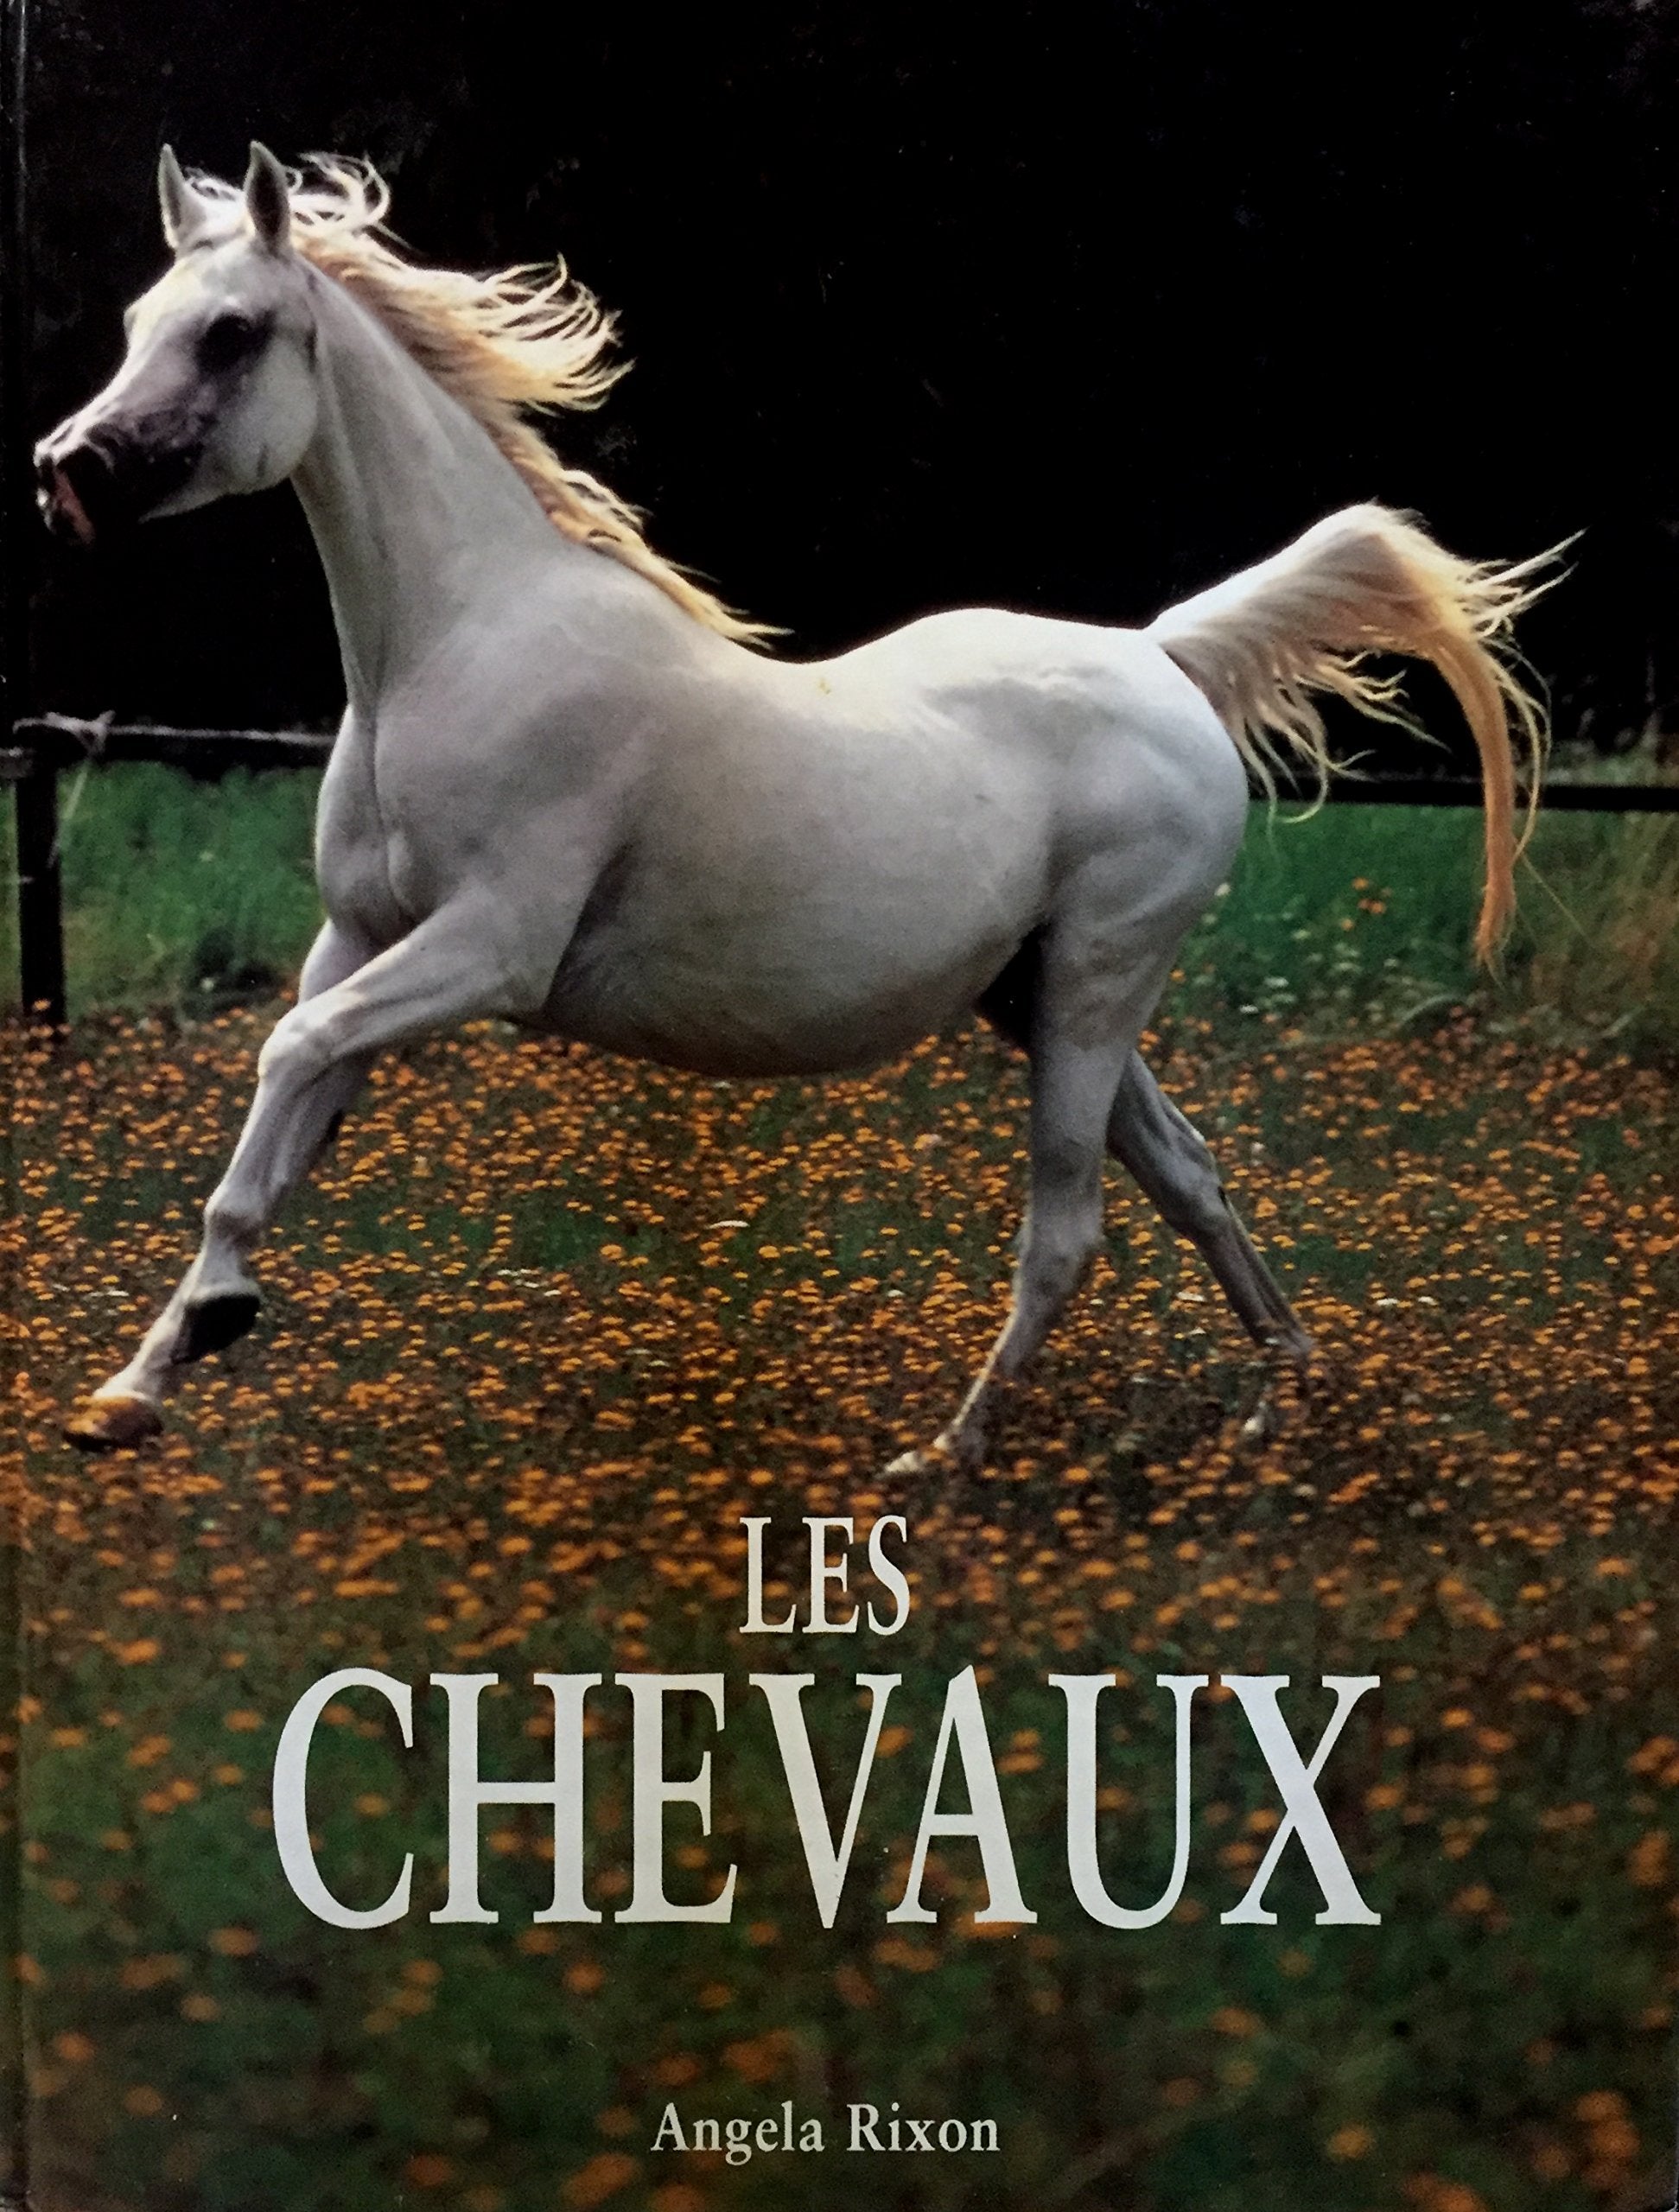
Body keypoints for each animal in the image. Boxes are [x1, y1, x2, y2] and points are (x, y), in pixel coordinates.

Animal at [36, 146, 1550, 1468]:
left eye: (231, 333)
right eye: (138, 321)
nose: (66, 473)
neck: (454, 645)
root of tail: (1160, 657)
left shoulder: (488, 951)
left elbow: (288, 1054)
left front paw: (214, 1322)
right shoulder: (356, 940)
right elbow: (269, 1138)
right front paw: (129, 1394)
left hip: (1095, 983)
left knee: (1066, 1232)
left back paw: (943, 1457)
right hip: (1035, 993)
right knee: (1188, 1176)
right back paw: (1282, 1403)